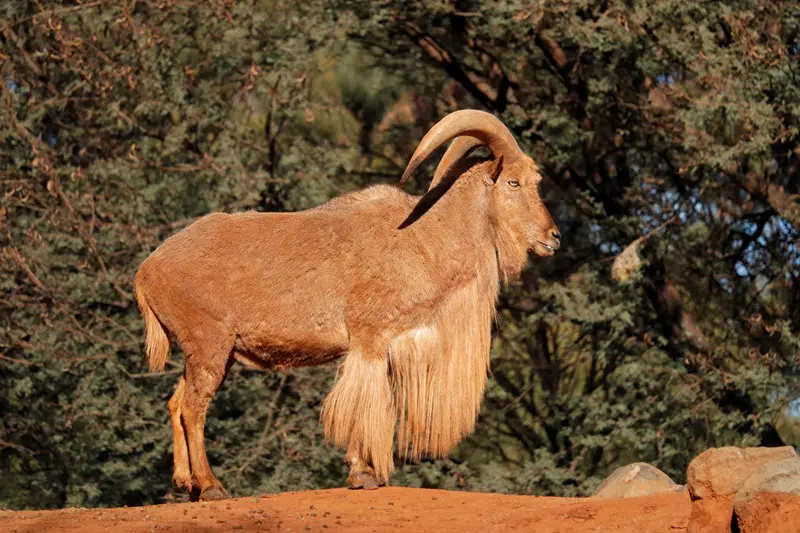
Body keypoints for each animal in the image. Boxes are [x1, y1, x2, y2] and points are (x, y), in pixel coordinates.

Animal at [134, 109, 561, 501]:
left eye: (537, 182)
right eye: (513, 181)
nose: (553, 237)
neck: (424, 238)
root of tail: (147, 269)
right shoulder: (369, 339)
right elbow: (363, 405)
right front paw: (364, 474)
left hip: (208, 355)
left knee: (175, 402)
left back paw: (186, 482)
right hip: (209, 345)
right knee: (193, 408)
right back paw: (210, 486)